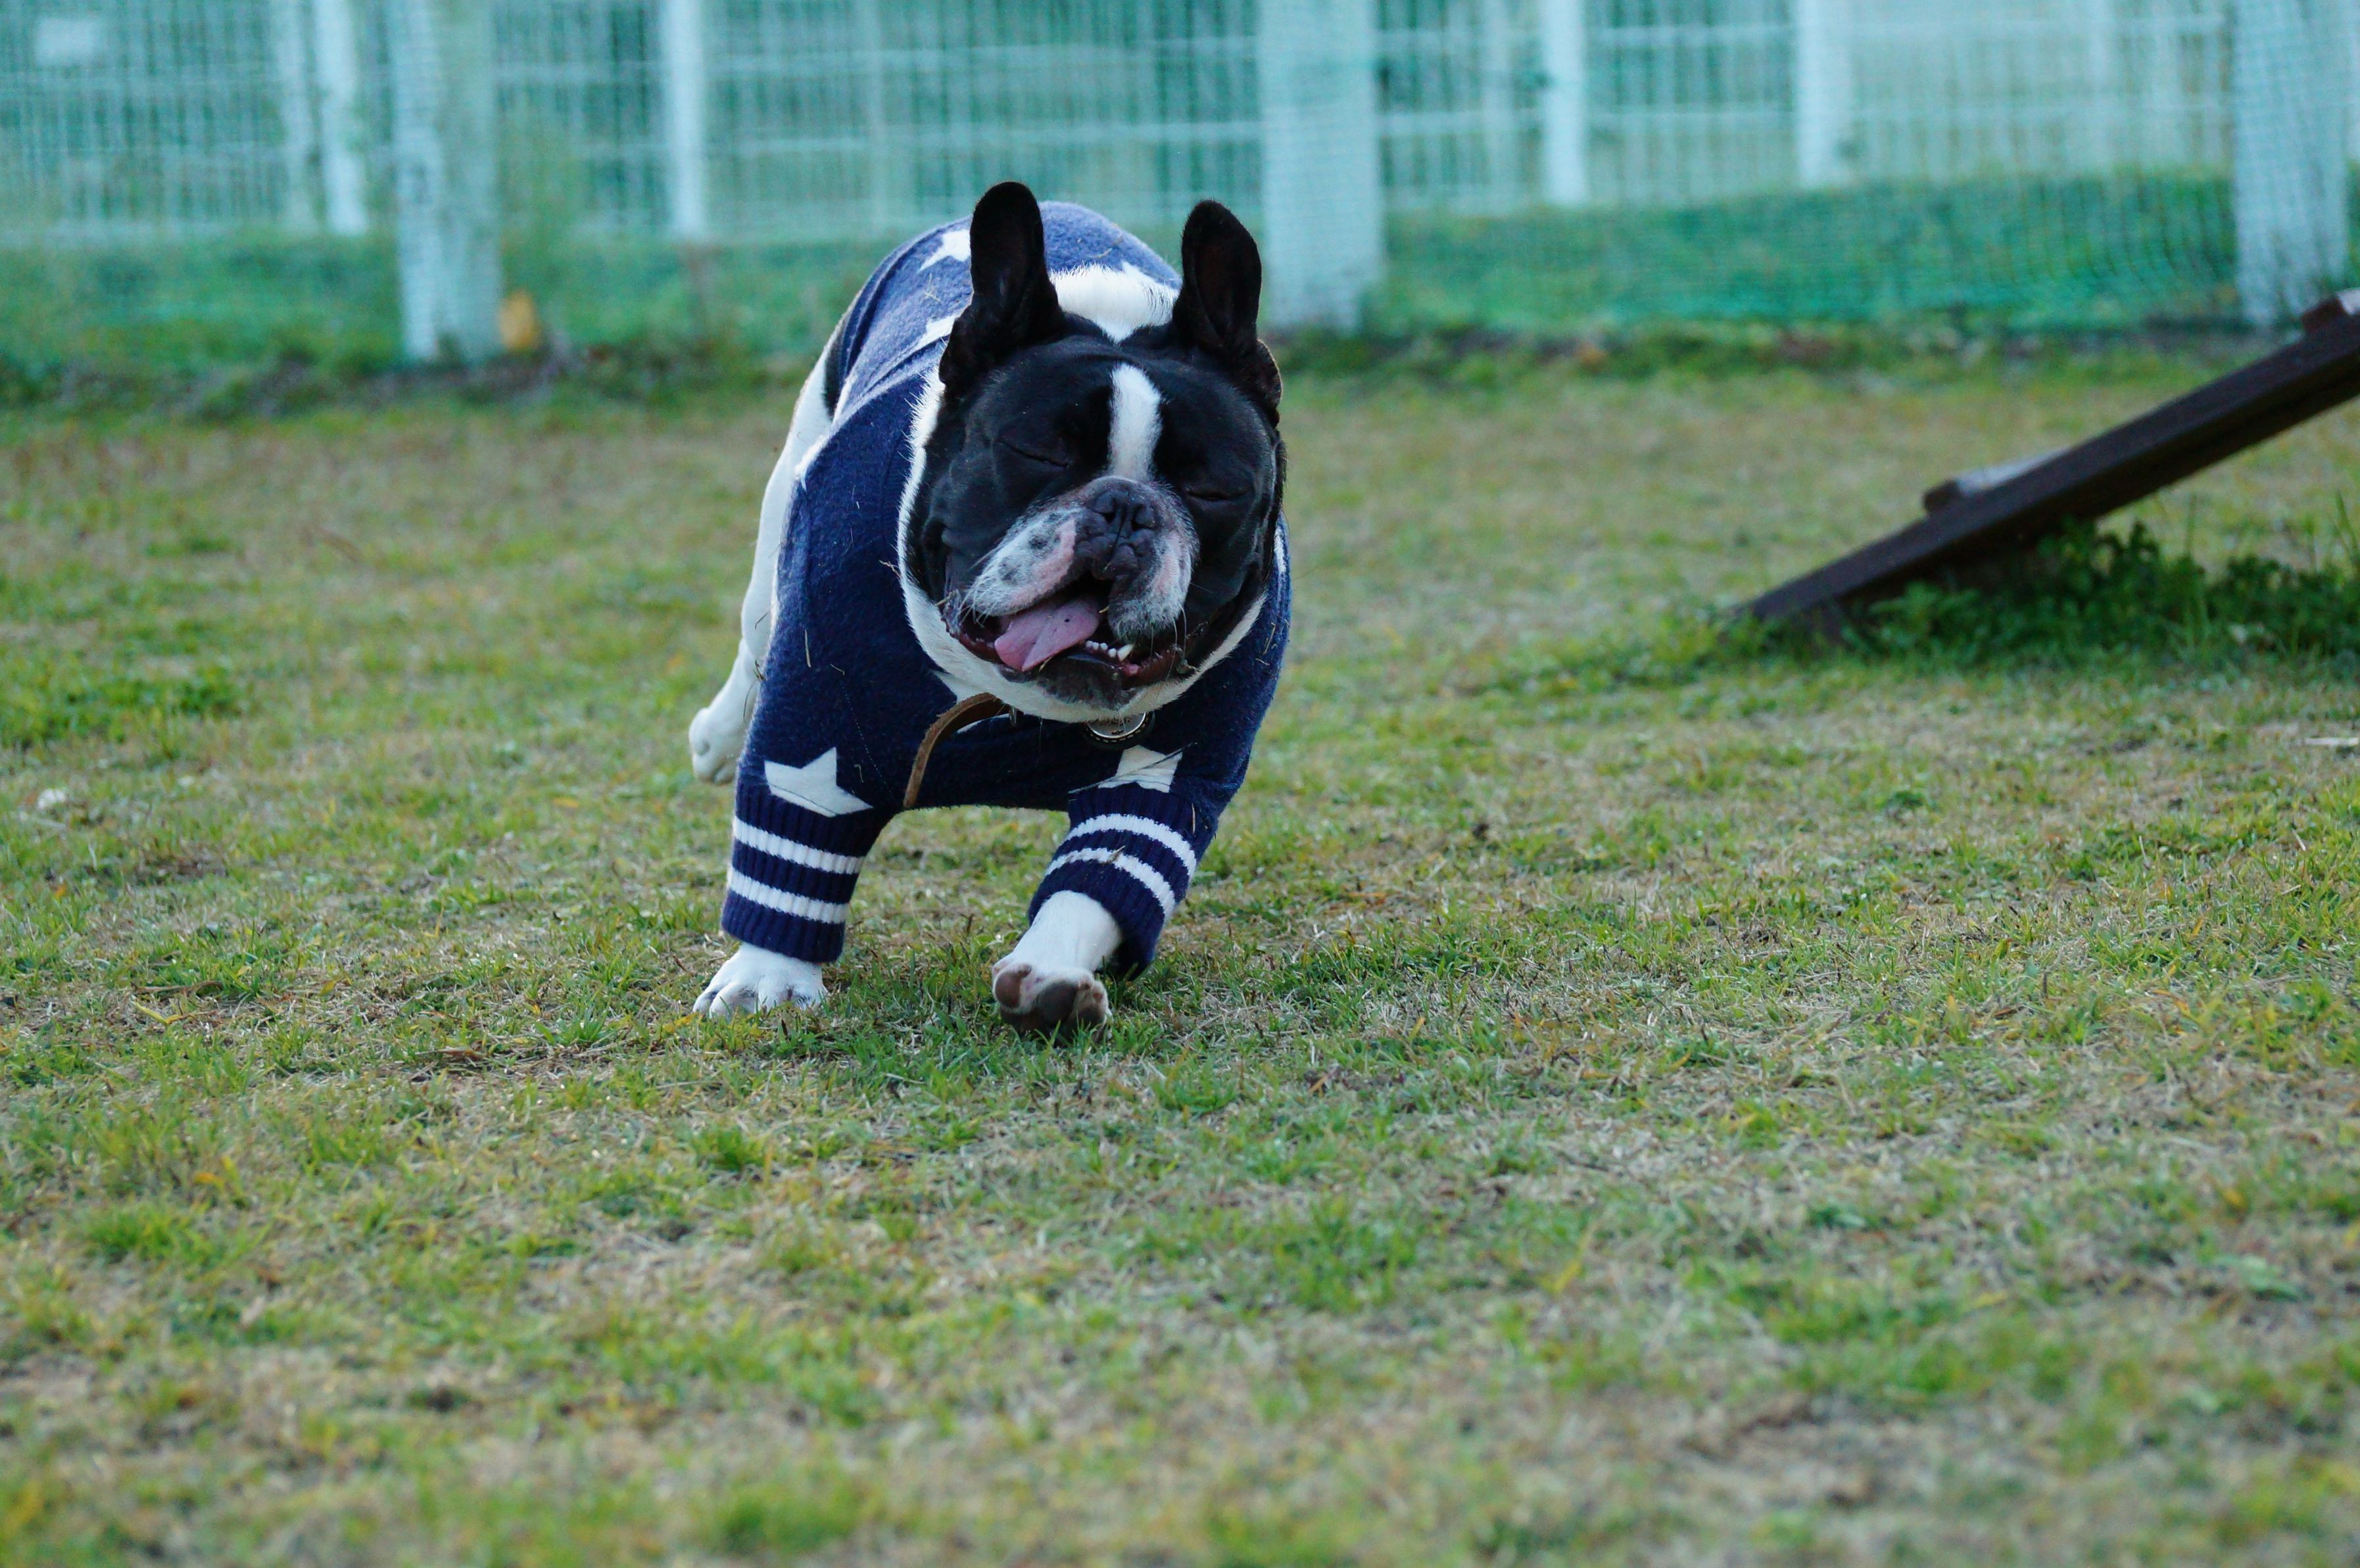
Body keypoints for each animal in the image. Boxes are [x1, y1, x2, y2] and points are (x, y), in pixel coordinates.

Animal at [685, 183, 1290, 1033]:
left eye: (1213, 491)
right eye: (1035, 452)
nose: (1123, 509)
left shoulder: (1168, 781)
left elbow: (1106, 872)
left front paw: (1052, 970)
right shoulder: (812, 745)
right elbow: (792, 840)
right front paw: (767, 975)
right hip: (784, 513)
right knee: (754, 641)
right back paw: (714, 738)